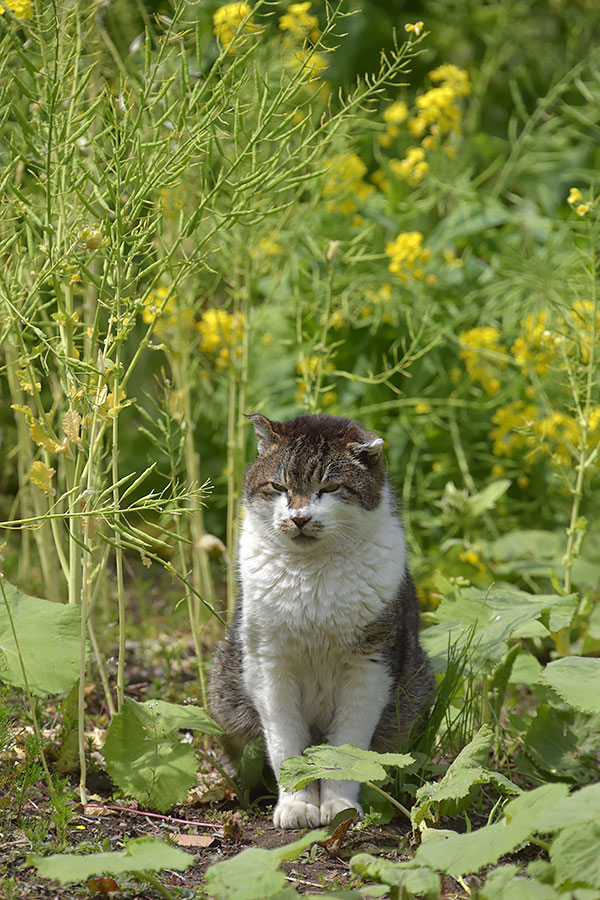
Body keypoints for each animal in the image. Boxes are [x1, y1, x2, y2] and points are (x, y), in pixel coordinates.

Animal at [209, 412, 434, 828]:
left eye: (329, 487)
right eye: (278, 486)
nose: (299, 518)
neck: (311, 575)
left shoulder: (369, 665)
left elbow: (348, 749)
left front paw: (338, 806)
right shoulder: (269, 664)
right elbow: (286, 746)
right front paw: (297, 805)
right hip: (224, 685)